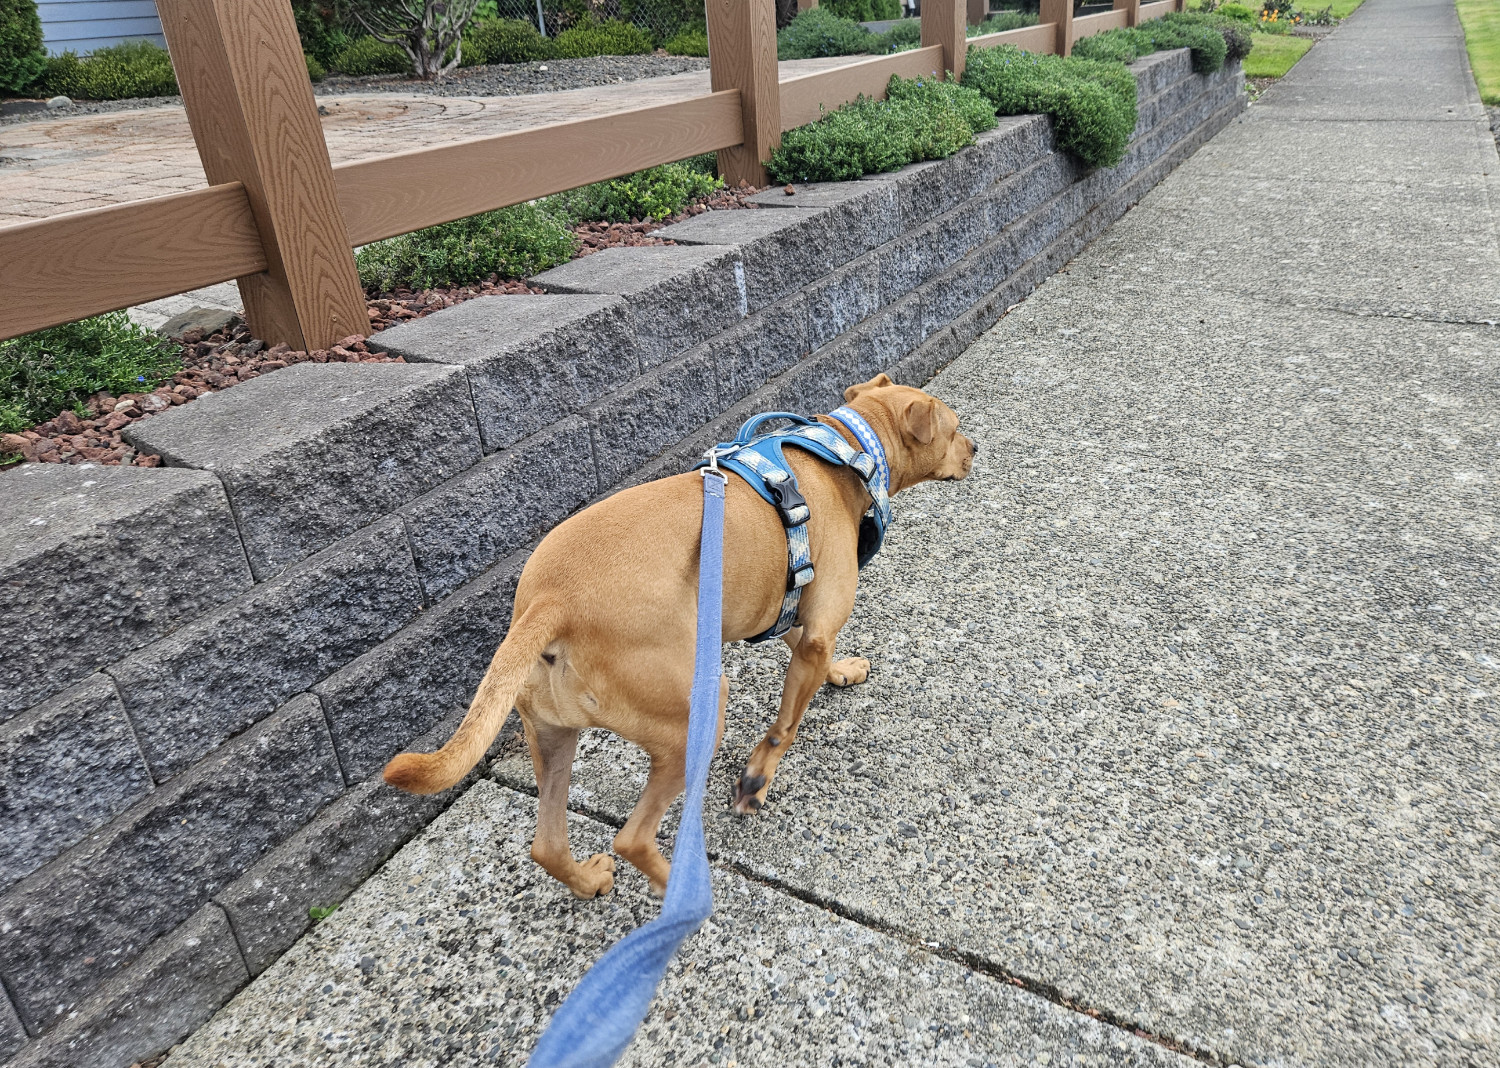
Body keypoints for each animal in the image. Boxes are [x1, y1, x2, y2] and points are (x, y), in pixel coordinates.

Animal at [381, 375, 978, 900]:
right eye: (953, 428)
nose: (976, 447)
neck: (846, 451)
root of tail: (549, 603)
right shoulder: (813, 630)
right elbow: (785, 725)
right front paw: (758, 778)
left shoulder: (794, 618)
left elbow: (808, 655)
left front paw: (843, 672)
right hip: (696, 712)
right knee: (631, 837)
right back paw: (684, 894)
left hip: (552, 733)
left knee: (546, 845)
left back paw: (589, 881)